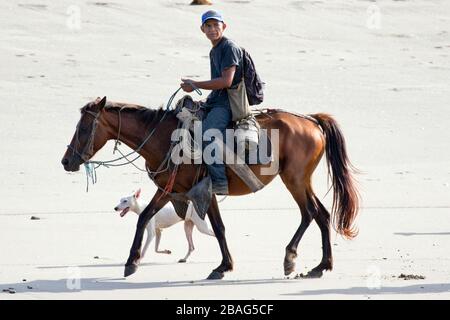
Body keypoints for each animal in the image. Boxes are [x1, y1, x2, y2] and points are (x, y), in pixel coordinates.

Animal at [61, 97, 360, 280]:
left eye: (84, 127)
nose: (66, 161)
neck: (164, 138)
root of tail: (311, 120)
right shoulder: (169, 189)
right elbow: (144, 217)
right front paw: (131, 262)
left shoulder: (205, 189)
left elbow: (218, 227)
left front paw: (223, 266)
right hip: (301, 180)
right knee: (322, 214)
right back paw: (322, 266)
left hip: (294, 179)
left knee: (309, 213)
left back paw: (292, 257)